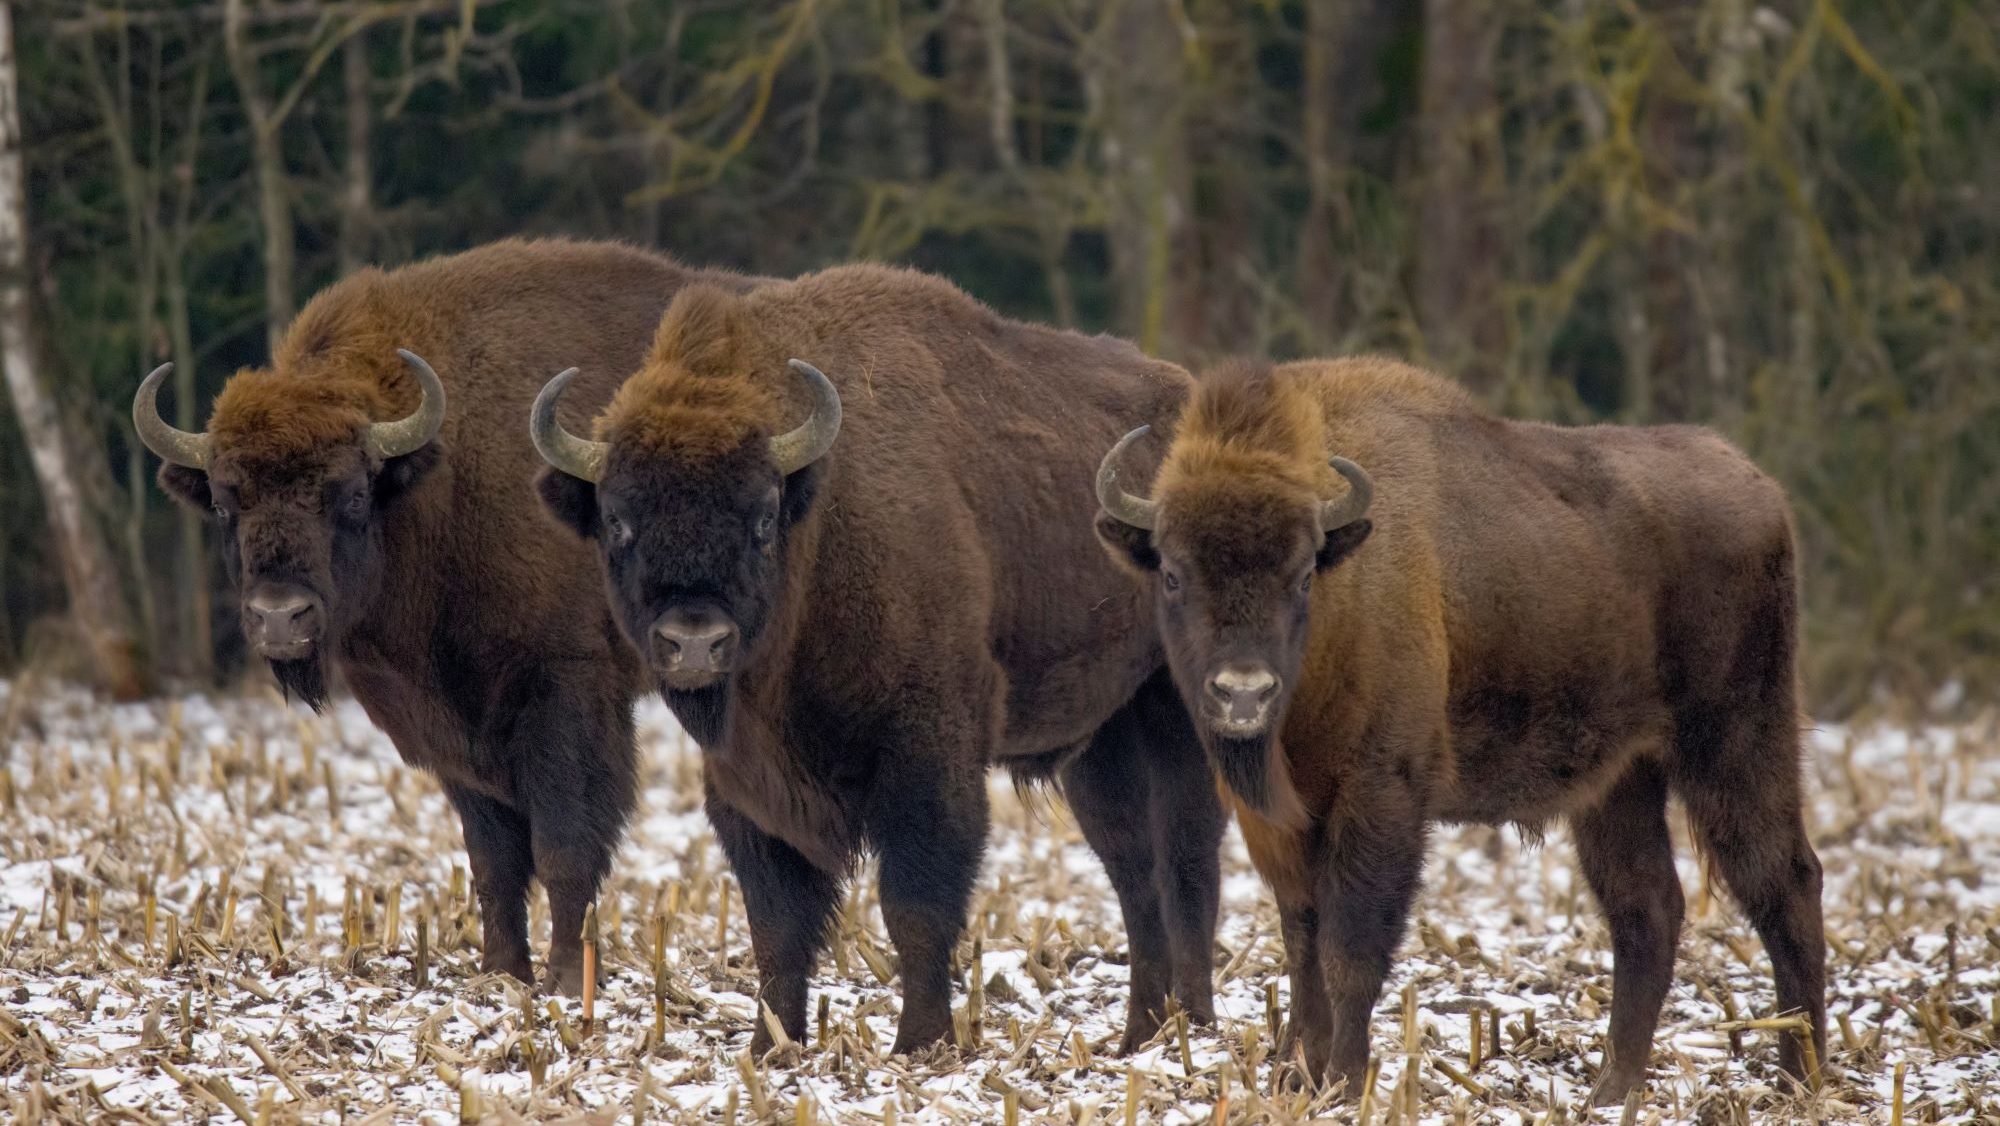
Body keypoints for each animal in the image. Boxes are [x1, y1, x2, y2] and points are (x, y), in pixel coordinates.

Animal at [133, 238, 756, 996]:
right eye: (226, 502)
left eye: (351, 493)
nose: (280, 617)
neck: (441, 475)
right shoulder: (453, 725)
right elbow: (492, 859)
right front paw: (501, 972)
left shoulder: (566, 690)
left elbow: (564, 845)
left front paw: (561, 981)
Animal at [528, 266, 1216, 1056]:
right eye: (617, 518)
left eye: (762, 515)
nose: (694, 640)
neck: (822, 521)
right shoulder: (747, 782)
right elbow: (776, 920)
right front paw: (773, 1044)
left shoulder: (929, 748)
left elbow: (915, 900)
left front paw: (920, 1042)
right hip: (1103, 742)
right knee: (1135, 872)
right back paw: (1141, 1034)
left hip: (1181, 717)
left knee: (1189, 862)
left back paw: (1194, 1025)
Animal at [1096, 360, 1832, 1104]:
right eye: (1173, 573)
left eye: (1302, 575)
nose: (1243, 692)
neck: (1345, 590)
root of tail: (1757, 484)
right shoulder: (1279, 821)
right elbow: (1301, 941)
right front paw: (1295, 1076)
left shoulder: (1382, 796)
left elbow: (1349, 950)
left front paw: (1346, 1080)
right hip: (1622, 780)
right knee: (1648, 906)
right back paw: (1612, 1088)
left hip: (1736, 742)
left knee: (1785, 880)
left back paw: (1800, 1074)